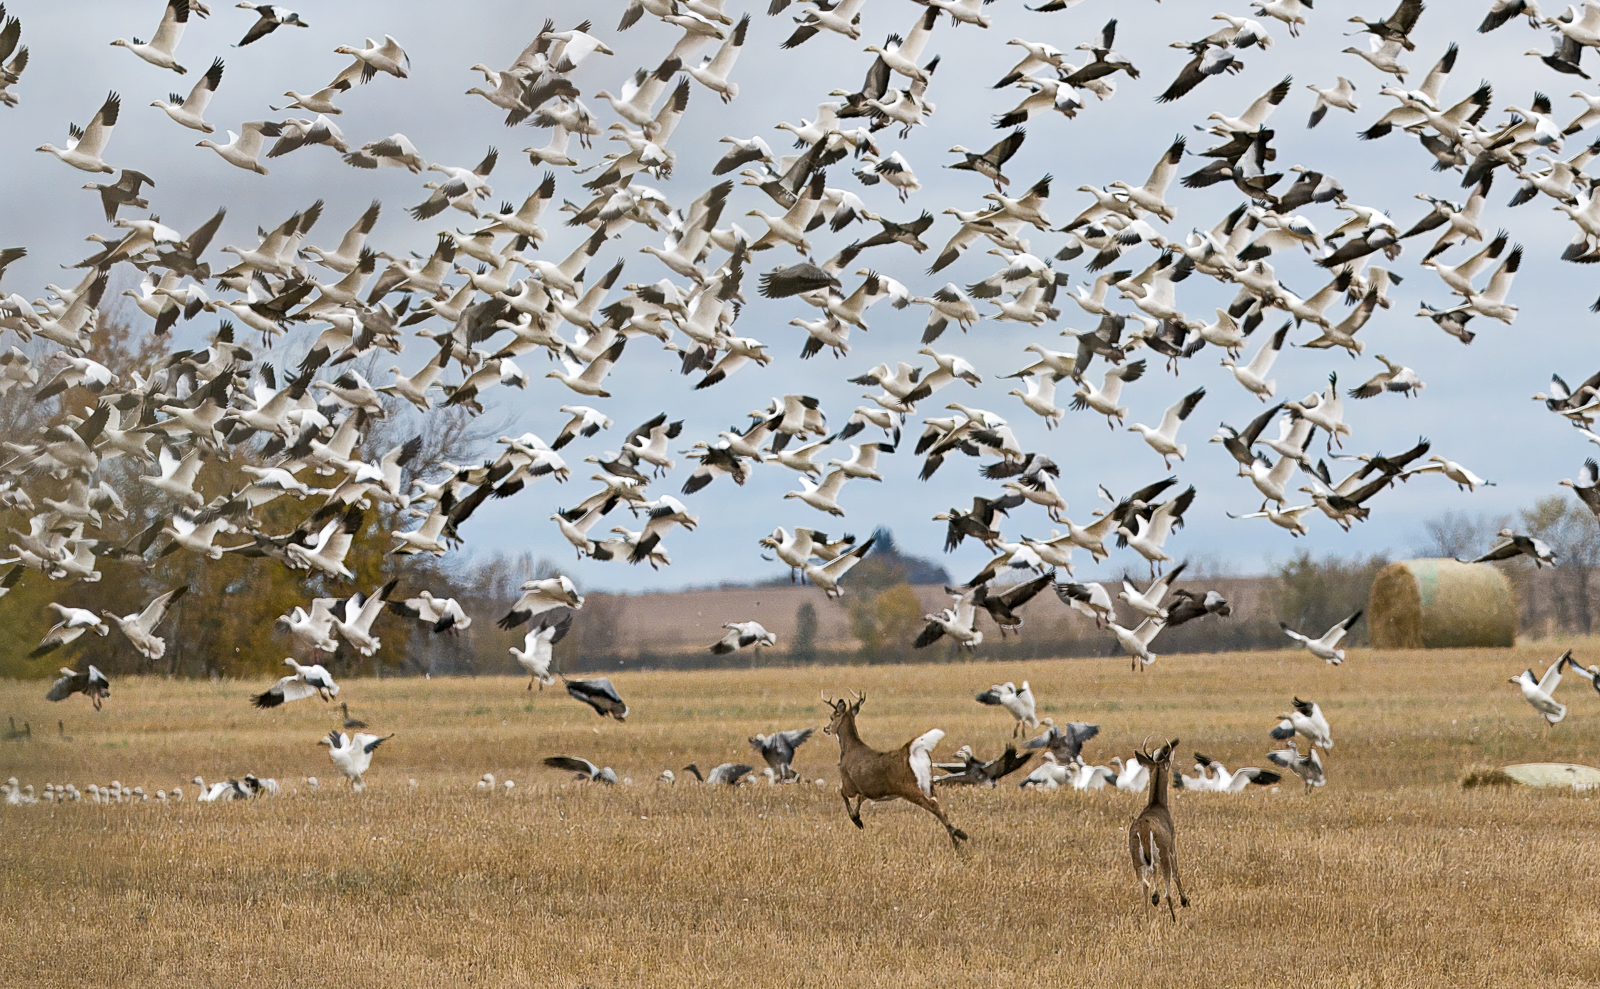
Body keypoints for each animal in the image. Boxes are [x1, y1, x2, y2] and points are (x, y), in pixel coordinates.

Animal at [821, 691, 969, 848]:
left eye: (832, 717)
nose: (826, 728)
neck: (849, 749)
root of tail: (910, 749)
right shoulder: (868, 790)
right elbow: (860, 799)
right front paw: (858, 819)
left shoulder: (849, 783)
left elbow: (842, 793)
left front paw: (857, 821)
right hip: (928, 784)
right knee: (940, 806)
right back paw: (958, 836)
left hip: (909, 787)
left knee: (934, 805)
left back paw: (958, 839)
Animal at [1128, 737, 1190, 921]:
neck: (1157, 805)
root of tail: (1143, 829)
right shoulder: (1171, 844)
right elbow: (1176, 871)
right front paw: (1185, 900)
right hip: (1162, 852)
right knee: (1167, 890)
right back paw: (1174, 918)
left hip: (1136, 856)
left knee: (1144, 884)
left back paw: (1148, 917)